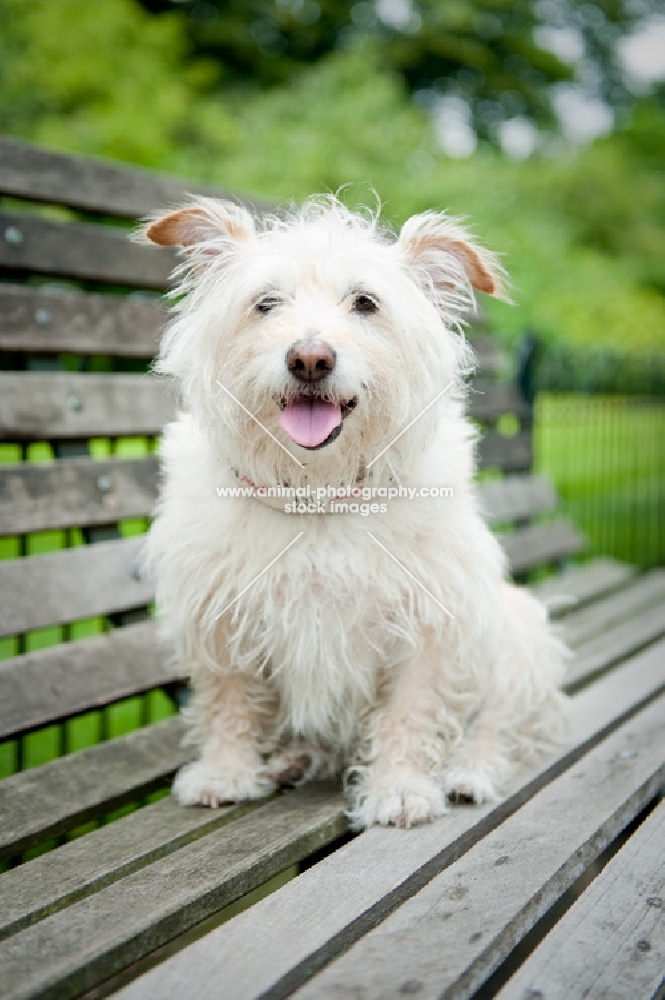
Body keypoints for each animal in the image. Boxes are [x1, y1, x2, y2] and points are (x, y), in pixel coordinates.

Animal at [143, 195, 568, 828]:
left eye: (365, 302)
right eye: (266, 302)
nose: (309, 359)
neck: (319, 490)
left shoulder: (431, 621)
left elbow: (411, 712)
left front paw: (399, 788)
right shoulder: (219, 615)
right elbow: (227, 701)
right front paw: (224, 772)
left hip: (518, 638)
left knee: (498, 725)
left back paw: (469, 770)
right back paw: (296, 757)